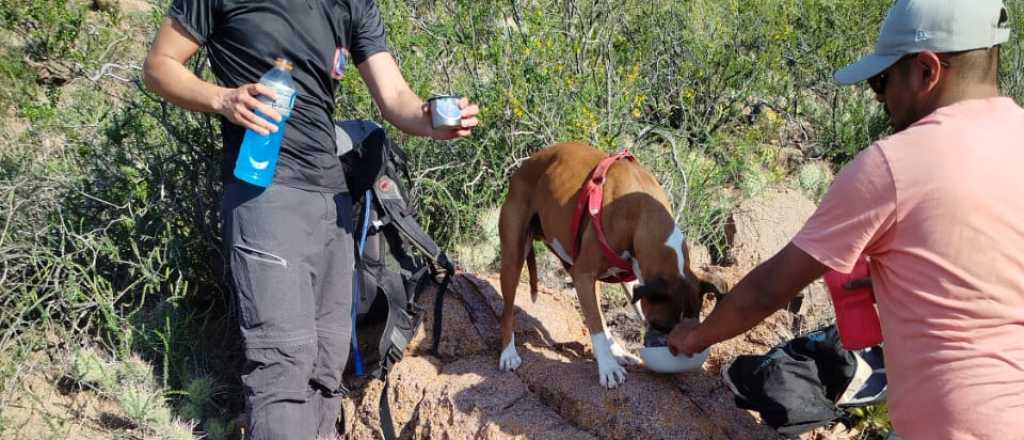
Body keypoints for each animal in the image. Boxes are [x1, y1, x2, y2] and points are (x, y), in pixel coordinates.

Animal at [495, 142, 704, 388]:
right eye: (661, 325)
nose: (670, 348)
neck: (642, 214)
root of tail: (524, 165)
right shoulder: (584, 275)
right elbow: (595, 326)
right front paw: (608, 368)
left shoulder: (630, 278)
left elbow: (606, 319)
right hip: (513, 258)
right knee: (507, 311)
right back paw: (508, 353)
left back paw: (619, 352)